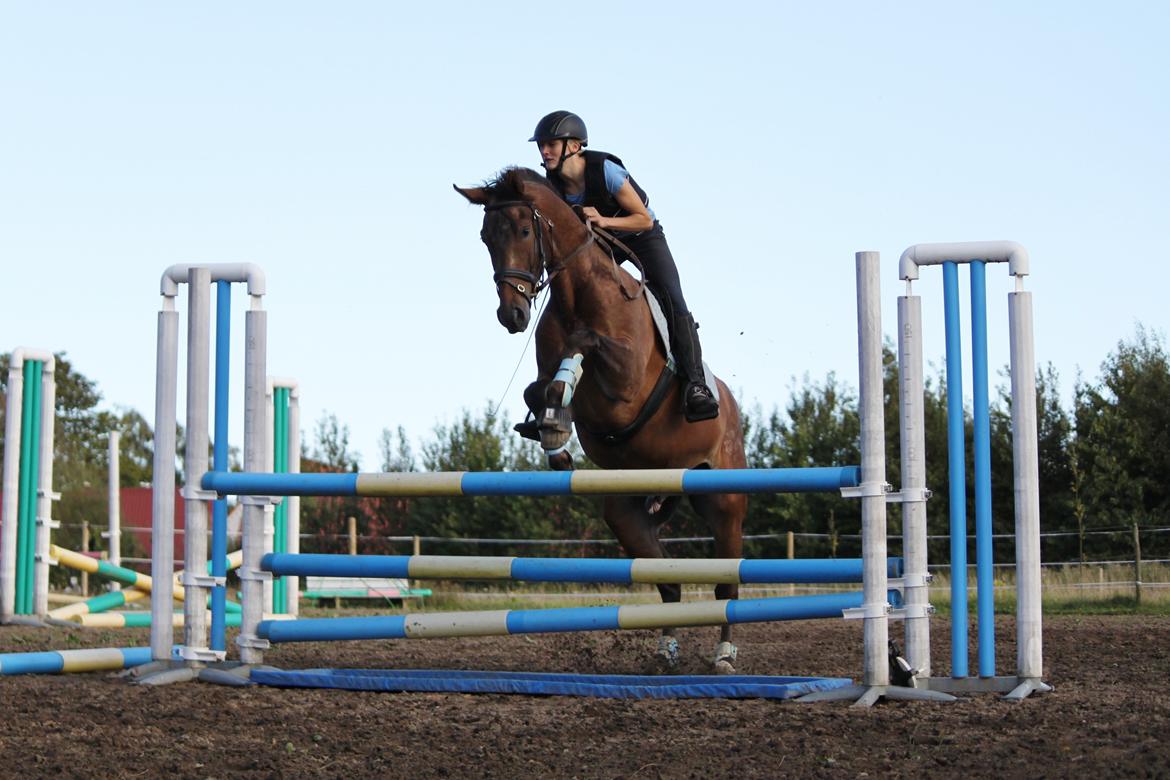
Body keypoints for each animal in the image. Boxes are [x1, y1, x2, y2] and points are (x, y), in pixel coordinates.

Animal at [456, 166, 748, 673]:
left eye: (525, 231)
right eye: (485, 237)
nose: (512, 315)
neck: (579, 293)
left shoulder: (626, 382)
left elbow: (583, 348)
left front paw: (561, 406)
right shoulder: (554, 375)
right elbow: (540, 388)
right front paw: (553, 436)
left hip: (724, 499)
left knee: (725, 585)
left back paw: (724, 656)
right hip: (628, 511)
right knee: (668, 582)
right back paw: (665, 651)